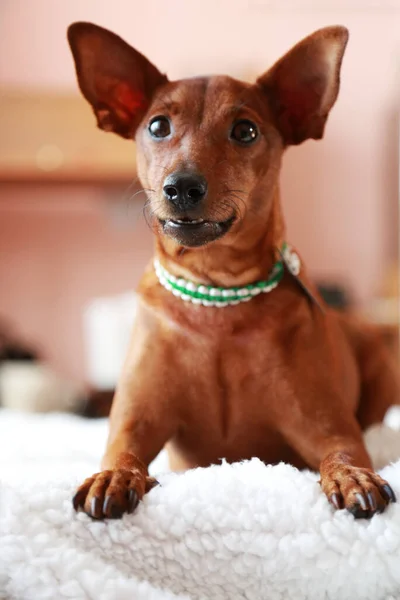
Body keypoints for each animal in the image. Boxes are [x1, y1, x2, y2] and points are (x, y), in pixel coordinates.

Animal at [69, 24, 396, 520]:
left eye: (245, 131)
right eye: (157, 126)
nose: (182, 187)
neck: (218, 300)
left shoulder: (327, 428)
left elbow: (343, 454)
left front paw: (353, 476)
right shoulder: (134, 424)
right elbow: (121, 454)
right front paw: (111, 477)